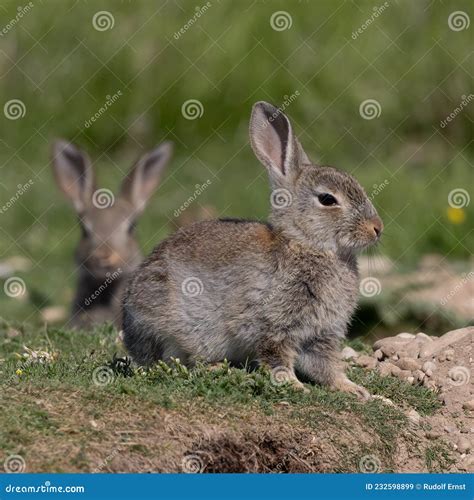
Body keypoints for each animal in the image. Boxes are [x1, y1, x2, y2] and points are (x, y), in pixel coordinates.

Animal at [121, 101, 382, 398]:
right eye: (327, 199)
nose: (377, 228)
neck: (306, 244)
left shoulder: (321, 334)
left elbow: (325, 366)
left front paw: (354, 389)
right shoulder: (272, 323)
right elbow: (276, 355)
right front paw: (294, 386)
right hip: (171, 328)